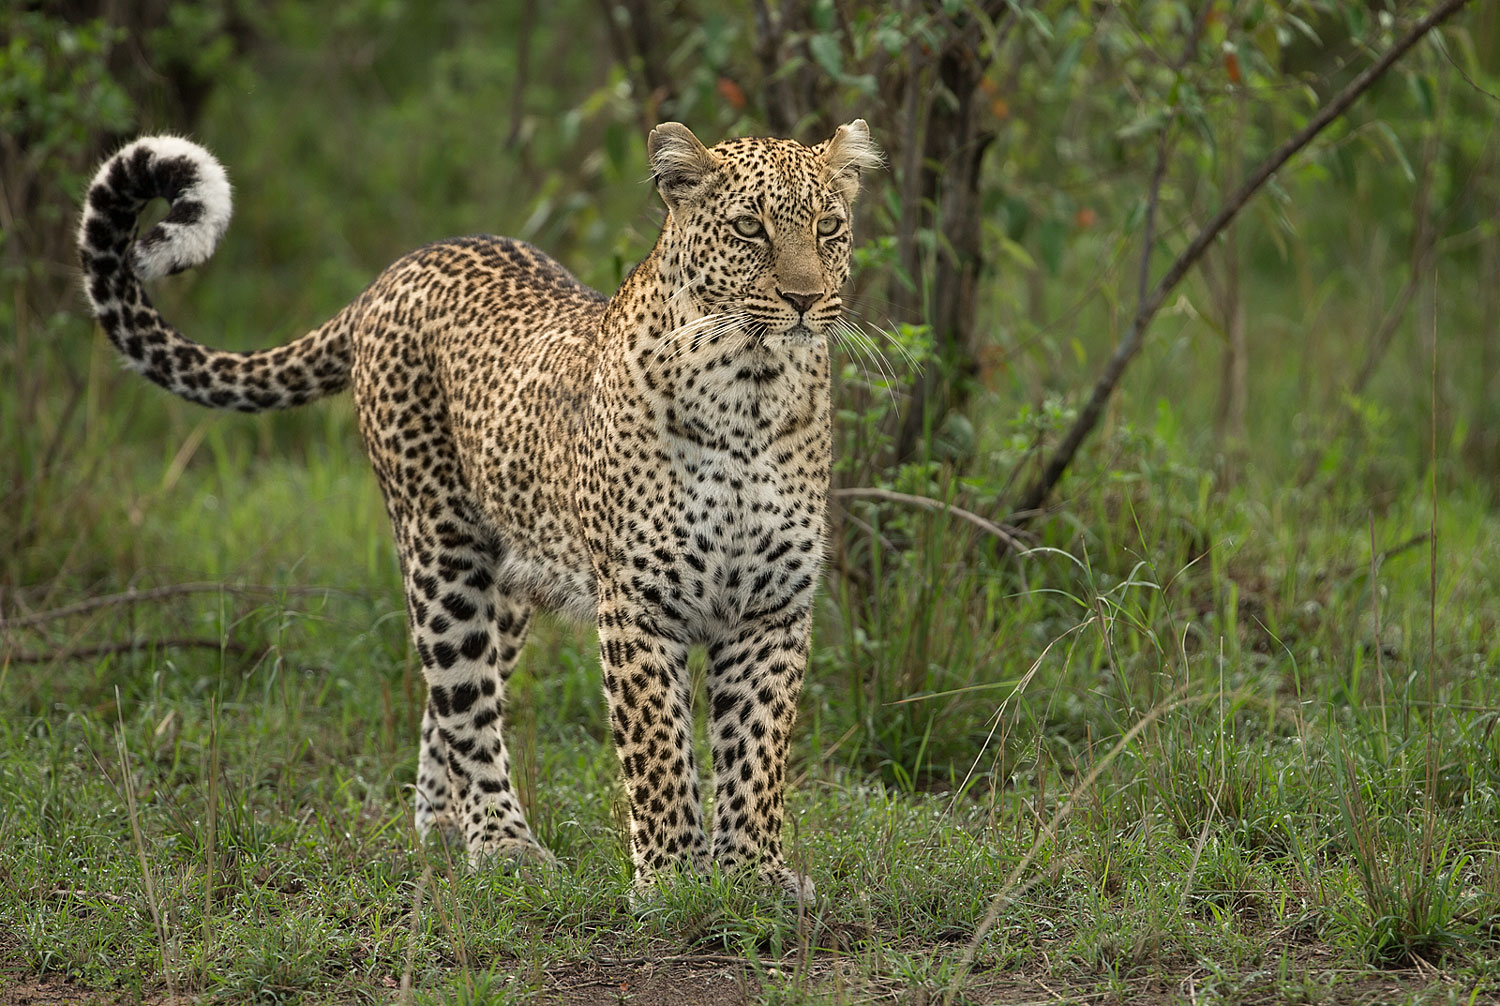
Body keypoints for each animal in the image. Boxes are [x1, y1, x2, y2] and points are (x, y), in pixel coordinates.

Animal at [76, 118, 876, 899]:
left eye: (829, 227)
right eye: (749, 229)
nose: (805, 301)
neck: (753, 395)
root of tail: (396, 271)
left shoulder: (773, 607)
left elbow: (756, 752)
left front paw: (754, 876)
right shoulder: (639, 605)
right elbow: (658, 754)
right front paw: (675, 881)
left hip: (511, 582)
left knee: (454, 701)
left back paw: (444, 831)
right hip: (440, 546)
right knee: (463, 698)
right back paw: (501, 844)